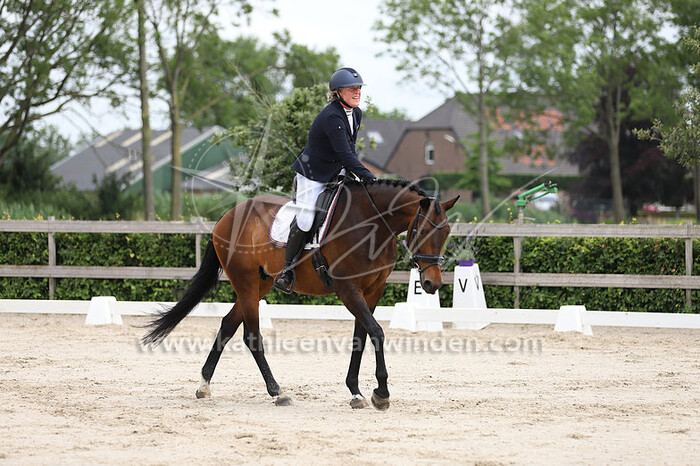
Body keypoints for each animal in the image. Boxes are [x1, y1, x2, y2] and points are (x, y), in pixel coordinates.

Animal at [142, 178, 459, 410]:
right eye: (422, 230)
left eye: (446, 234)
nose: (432, 283)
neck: (372, 224)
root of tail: (227, 216)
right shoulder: (348, 289)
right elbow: (377, 332)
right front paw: (381, 392)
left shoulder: (372, 291)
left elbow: (362, 336)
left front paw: (356, 391)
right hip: (246, 283)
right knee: (251, 335)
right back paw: (277, 392)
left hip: (260, 285)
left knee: (227, 325)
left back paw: (204, 385)